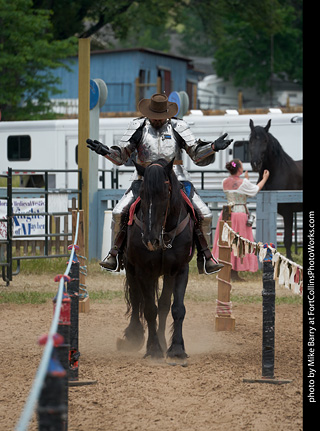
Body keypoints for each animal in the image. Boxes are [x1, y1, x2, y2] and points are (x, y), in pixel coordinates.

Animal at [116, 159, 194, 364]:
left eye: (165, 194)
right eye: (142, 194)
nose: (150, 239)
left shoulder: (179, 270)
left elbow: (176, 308)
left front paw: (176, 348)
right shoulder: (143, 271)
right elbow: (149, 309)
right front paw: (153, 349)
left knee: (164, 306)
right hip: (132, 270)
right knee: (136, 300)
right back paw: (134, 336)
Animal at [250, 118, 302, 260]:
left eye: (265, 140)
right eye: (250, 140)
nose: (255, 163)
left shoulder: (288, 212)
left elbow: (287, 239)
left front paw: (289, 261)